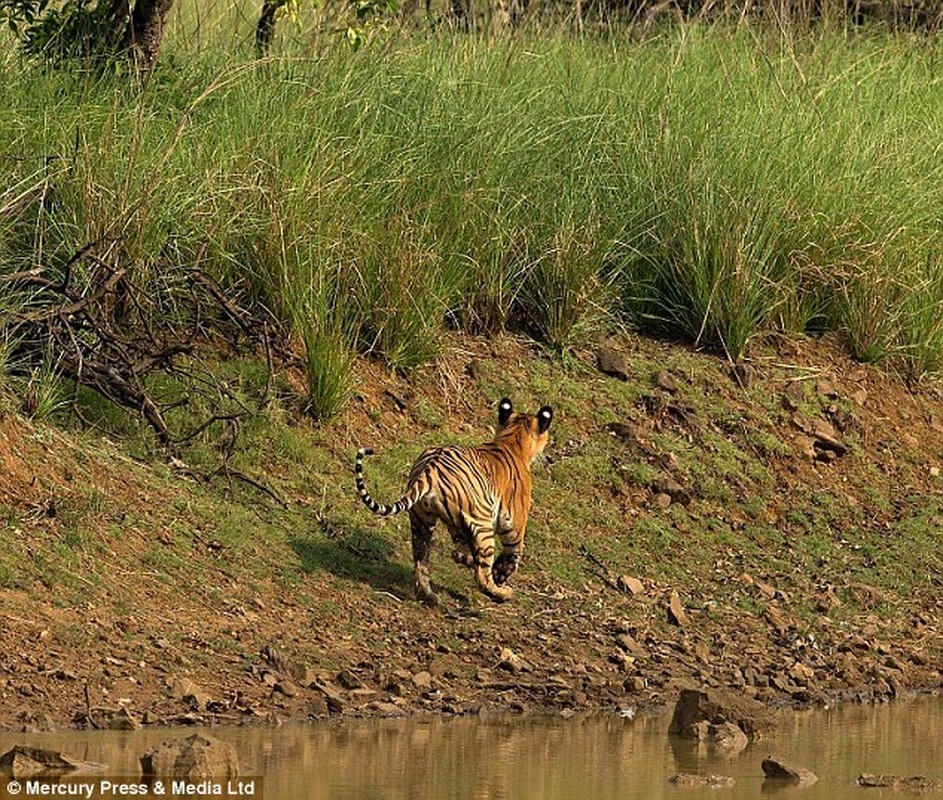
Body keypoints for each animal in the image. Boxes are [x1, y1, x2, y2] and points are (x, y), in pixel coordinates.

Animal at [358, 400, 556, 608]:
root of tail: (430, 469)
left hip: (421, 521)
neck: (513, 438)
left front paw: (465, 558)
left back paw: (429, 596)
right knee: (482, 577)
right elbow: (513, 552)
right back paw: (502, 593)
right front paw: (500, 574)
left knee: (421, 559)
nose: (550, 458)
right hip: (482, 524)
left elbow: (460, 549)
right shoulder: (514, 522)